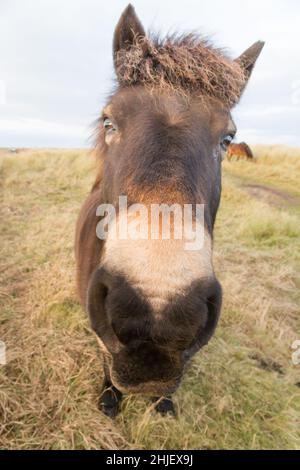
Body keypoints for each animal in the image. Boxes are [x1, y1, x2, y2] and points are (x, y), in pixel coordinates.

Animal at [75, 2, 264, 414]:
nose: (156, 311)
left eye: (228, 138)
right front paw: (109, 397)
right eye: (109, 122)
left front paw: (162, 402)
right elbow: (104, 354)